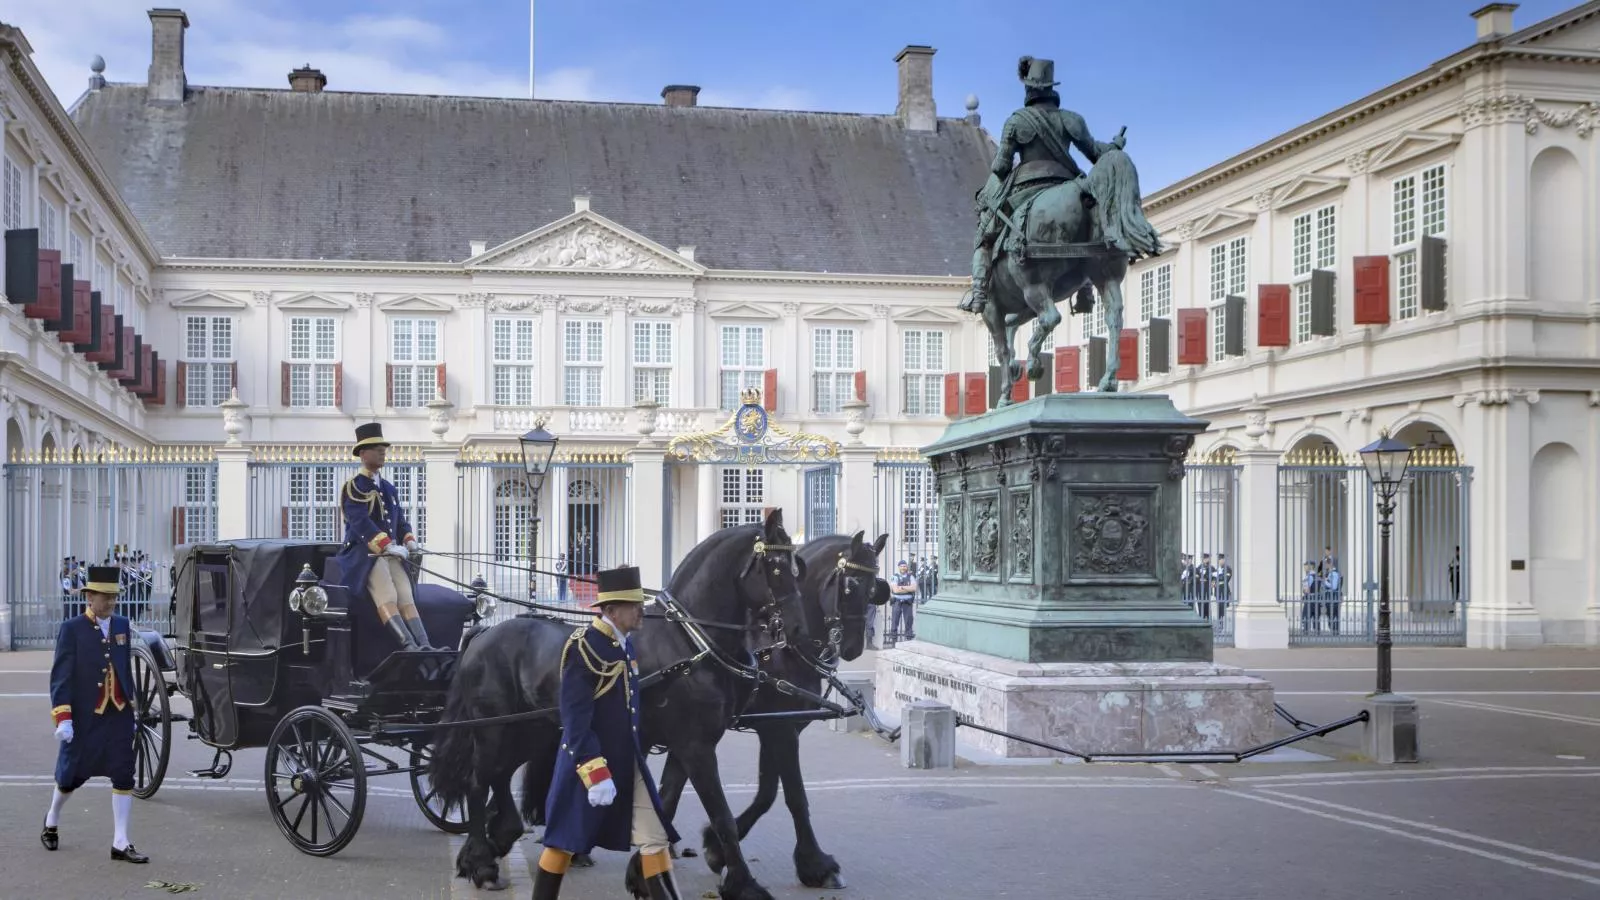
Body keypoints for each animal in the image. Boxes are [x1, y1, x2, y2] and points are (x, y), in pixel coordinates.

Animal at [432, 509, 806, 890]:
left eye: (797, 567)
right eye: (775, 567)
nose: (798, 629)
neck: (689, 642)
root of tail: (483, 634)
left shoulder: (685, 745)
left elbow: (667, 803)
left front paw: (643, 871)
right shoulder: (695, 746)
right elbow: (721, 815)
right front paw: (744, 882)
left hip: (530, 731)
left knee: (499, 777)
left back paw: (495, 840)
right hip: (494, 730)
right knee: (478, 782)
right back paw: (481, 862)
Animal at [646, 528, 896, 883]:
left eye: (874, 588)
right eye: (848, 586)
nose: (851, 647)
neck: (783, 649)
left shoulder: (776, 726)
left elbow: (767, 793)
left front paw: (715, 847)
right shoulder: (779, 727)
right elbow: (793, 794)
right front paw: (815, 863)